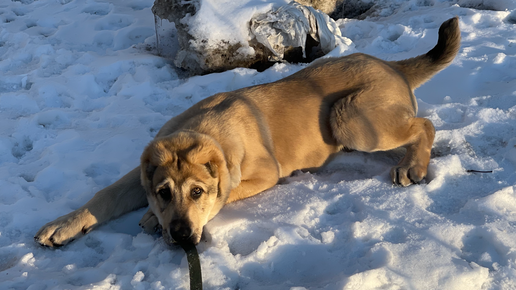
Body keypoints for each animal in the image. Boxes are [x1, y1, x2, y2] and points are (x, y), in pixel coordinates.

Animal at [34, 16, 460, 247]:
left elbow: (224, 196)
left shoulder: (264, 174)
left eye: (197, 192)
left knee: (424, 124)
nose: (182, 236)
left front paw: (153, 220)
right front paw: (63, 225)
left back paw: (413, 165)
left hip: (348, 116)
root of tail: (392, 66)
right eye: (162, 191)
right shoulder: (139, 173)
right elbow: (105, 195)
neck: (202, 127)